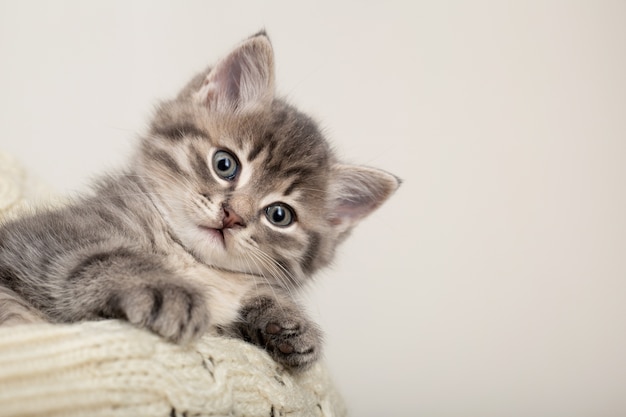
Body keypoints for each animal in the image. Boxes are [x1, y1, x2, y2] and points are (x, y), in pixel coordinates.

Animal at [0, 32, 400, 370]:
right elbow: (101, 256)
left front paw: (287, 321)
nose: (232, 216)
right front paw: (163, 289)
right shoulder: (43, 236)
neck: (194, 262)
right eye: (225, 164)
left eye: (279, 215)